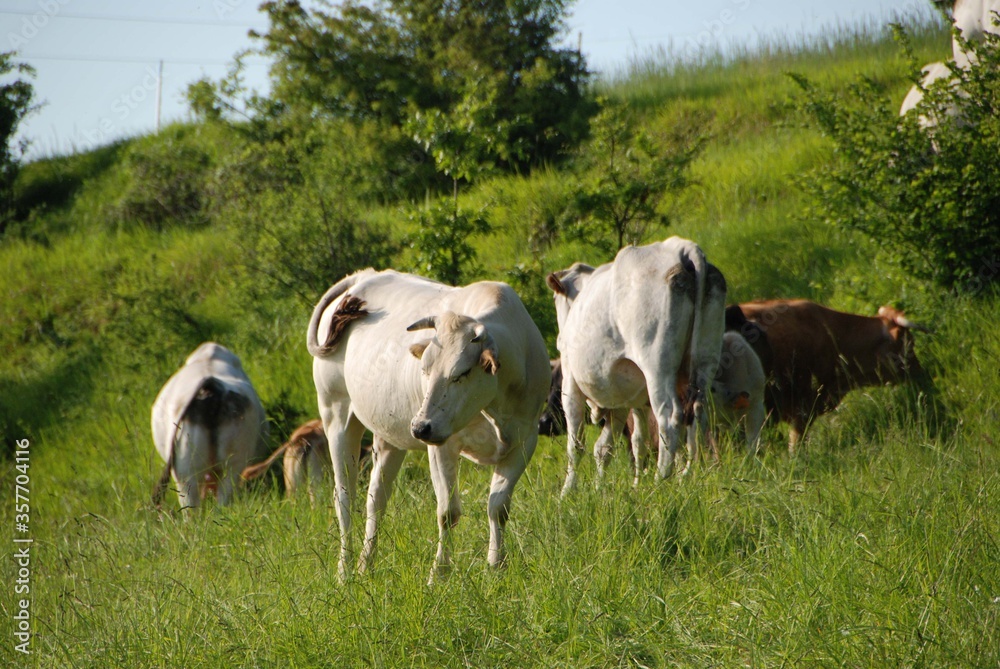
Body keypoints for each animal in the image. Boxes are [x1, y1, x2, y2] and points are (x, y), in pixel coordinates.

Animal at [308, 268, 552, 580]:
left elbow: (498, 507)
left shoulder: (524, 440)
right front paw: (439, 574)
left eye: (461, 373)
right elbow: (447, 513)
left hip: (388, 435)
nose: (420, 427)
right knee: (344, 499)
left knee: (377, 498)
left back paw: (366, 563)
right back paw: (345, 570)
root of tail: (364, 276)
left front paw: (496, 566)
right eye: (424, 369)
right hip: (336, 415)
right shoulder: (441, 445)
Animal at [548, 237, 728, 494]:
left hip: (657, 367)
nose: (560, 340)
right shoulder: (628, 398)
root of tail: (681, 248)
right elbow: (624, 443)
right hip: (704, 363)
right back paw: (689, 474)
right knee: (696, 413)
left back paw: (660, 479)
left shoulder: (570, 384)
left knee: (670, 418)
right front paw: (617, 486)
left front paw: (568, 491)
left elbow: (576, 443)